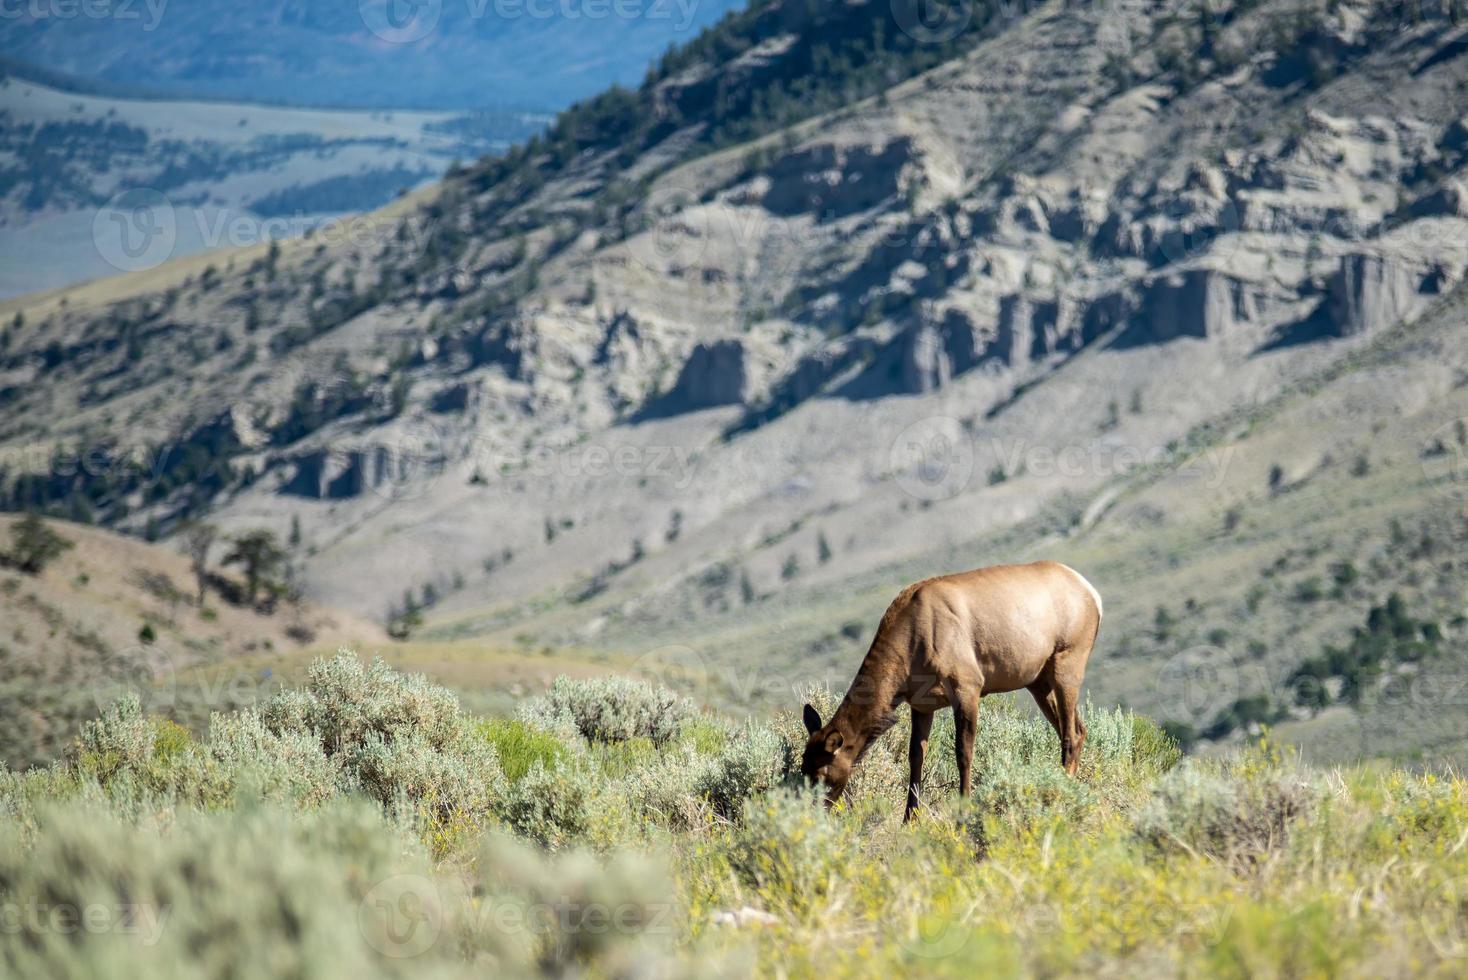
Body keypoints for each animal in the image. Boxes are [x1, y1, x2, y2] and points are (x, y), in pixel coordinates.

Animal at [804, 557, 1103, 821]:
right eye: (802, 766)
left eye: (823, 775)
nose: (812, 815)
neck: (909, 654)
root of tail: (1094, 595)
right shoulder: (921, 703)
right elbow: (916, 757)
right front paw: (909, 819)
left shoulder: (968, 685)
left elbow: (963, 752)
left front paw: (963, 813)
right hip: (1038, 680)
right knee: (1078, 729)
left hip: (1068, 659)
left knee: (1069, 734)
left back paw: (1060, 799)